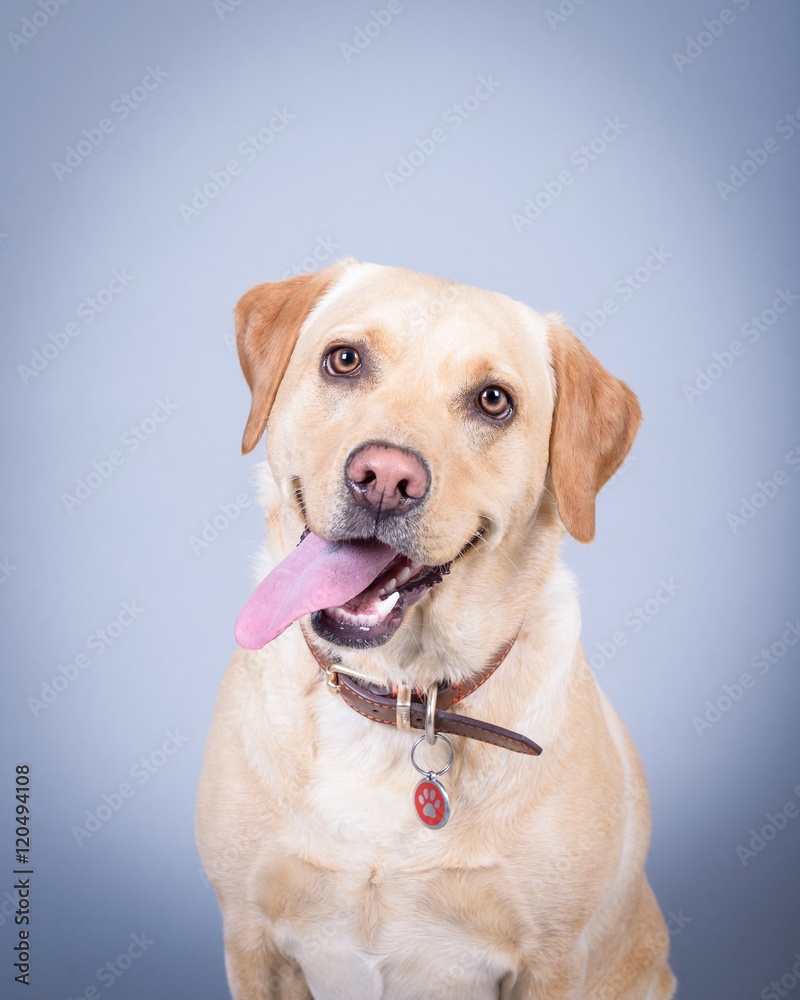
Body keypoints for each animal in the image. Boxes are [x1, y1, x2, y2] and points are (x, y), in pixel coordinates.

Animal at [197, 260, 680, 1000]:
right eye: (344, 359)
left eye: (493, 401)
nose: (384, 479)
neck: (399, 696)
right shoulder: (249, 941)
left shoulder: (553, 962)